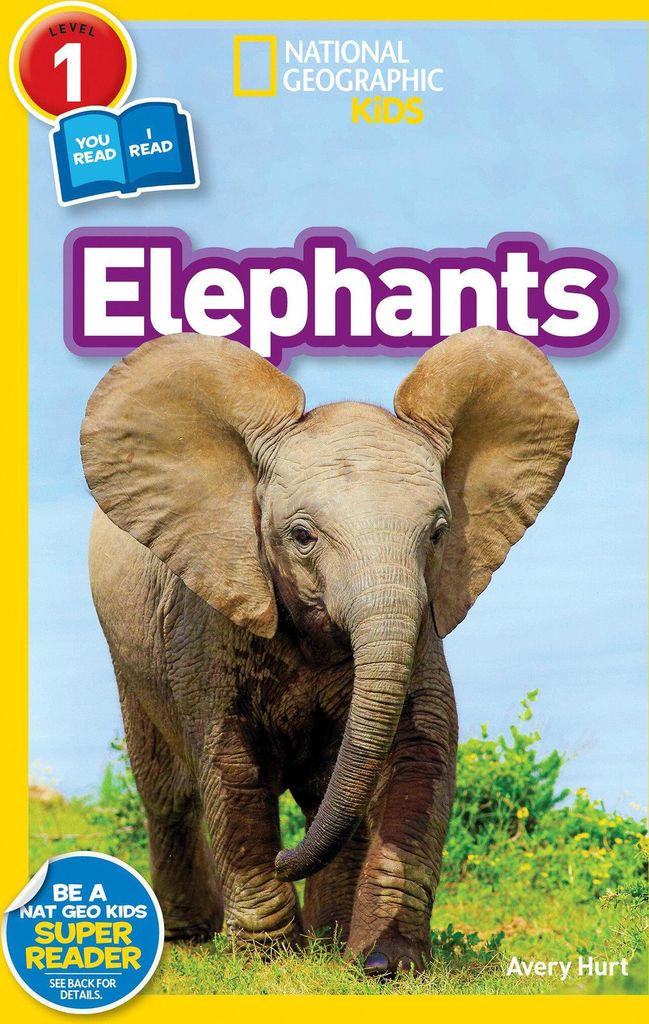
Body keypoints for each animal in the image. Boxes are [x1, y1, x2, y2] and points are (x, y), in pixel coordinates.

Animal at [80, 326, 578, 977]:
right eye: (301, 536)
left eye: (439, 533)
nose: (288, 856)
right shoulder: (205, 610)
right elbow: (230, 761)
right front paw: (266, 960)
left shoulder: (420, 620)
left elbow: (421, 748)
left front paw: (385, 964)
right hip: (128, 650)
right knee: (168, 788)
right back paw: (192, 935)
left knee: (324, 791)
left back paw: (328, 936)